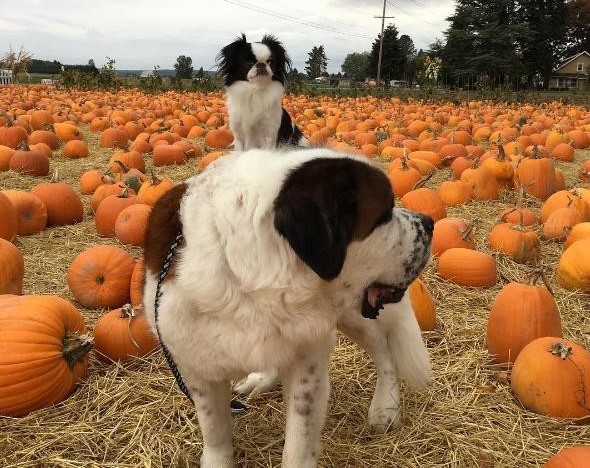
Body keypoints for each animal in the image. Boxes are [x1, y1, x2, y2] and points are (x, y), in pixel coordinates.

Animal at [143, 149, 434, 468]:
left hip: (353, 312)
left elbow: (298, 440)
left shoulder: (308, 365)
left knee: (383, 349)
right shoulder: (196, 368)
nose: (430, 222)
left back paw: (386, 406)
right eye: (383, 216)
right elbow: (215, 431)